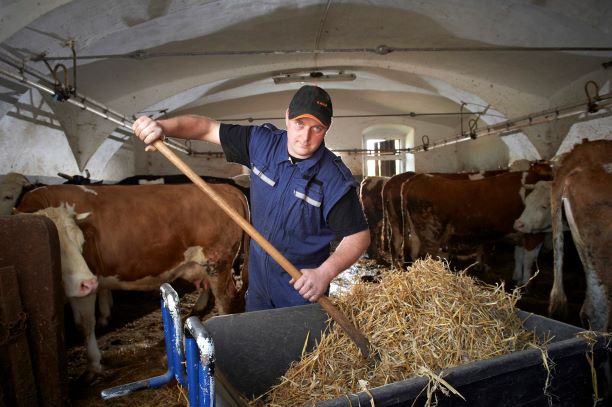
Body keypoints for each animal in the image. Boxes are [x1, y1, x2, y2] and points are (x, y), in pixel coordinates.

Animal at [17, 183, 251, 380]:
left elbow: (85, 324)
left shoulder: (87, 282)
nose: (88, 281)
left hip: (218, 263)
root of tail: (227, 187)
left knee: (226, 299)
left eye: (80, 242)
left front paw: (93, 365)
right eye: (55, 246)